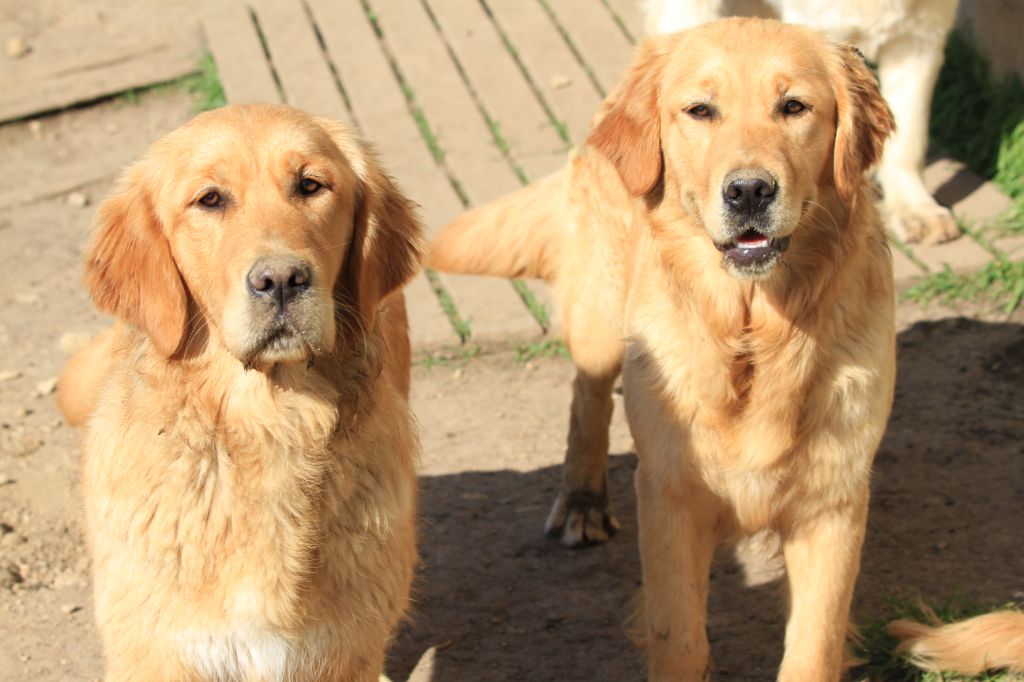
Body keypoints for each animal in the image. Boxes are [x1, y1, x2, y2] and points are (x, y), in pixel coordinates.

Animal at [55, 103, 423, 675]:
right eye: (210, 199)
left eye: (311, 185)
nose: (282, 279)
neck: (270, 427)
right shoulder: (160, 651)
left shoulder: (344, 650)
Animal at [432, 18, 897, 675]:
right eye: (701, 110)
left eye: (794, 107)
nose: (749, 190)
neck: (751, 333)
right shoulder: (670, 495)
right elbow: (679, 636)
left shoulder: (833, 505)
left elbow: (814, 644)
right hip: (600, 314)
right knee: (587, 398)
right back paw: (582, 500)